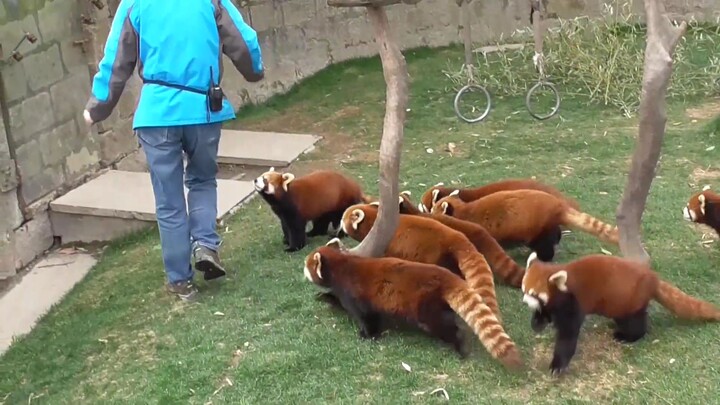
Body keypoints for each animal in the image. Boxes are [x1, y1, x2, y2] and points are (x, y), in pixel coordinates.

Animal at [304, 238, 524, 370]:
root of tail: (446, 276)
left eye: (306, 267)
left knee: (443, 326)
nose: (302, 271)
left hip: (426, 306)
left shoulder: (354, 293)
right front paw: (323, 296)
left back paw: (460, 347)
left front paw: (367, 335)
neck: (342, 265)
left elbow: (366, 316)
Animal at [430, 189, 616, 260]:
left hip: (538, 228)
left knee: (544, 245)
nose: (428, 215)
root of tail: (557, 205)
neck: (462, 210)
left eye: (432, 211)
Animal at [520, 251, 720, 374]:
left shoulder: (573, 303)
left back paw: (627, 336)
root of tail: (652, 278)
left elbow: (567, 336)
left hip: (628, 301)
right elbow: (546, 311)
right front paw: (537, 322)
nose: (524, 301)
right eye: (524, 289)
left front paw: (558, 365)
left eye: (534, 294)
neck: (563, 287)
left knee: (634, 322)